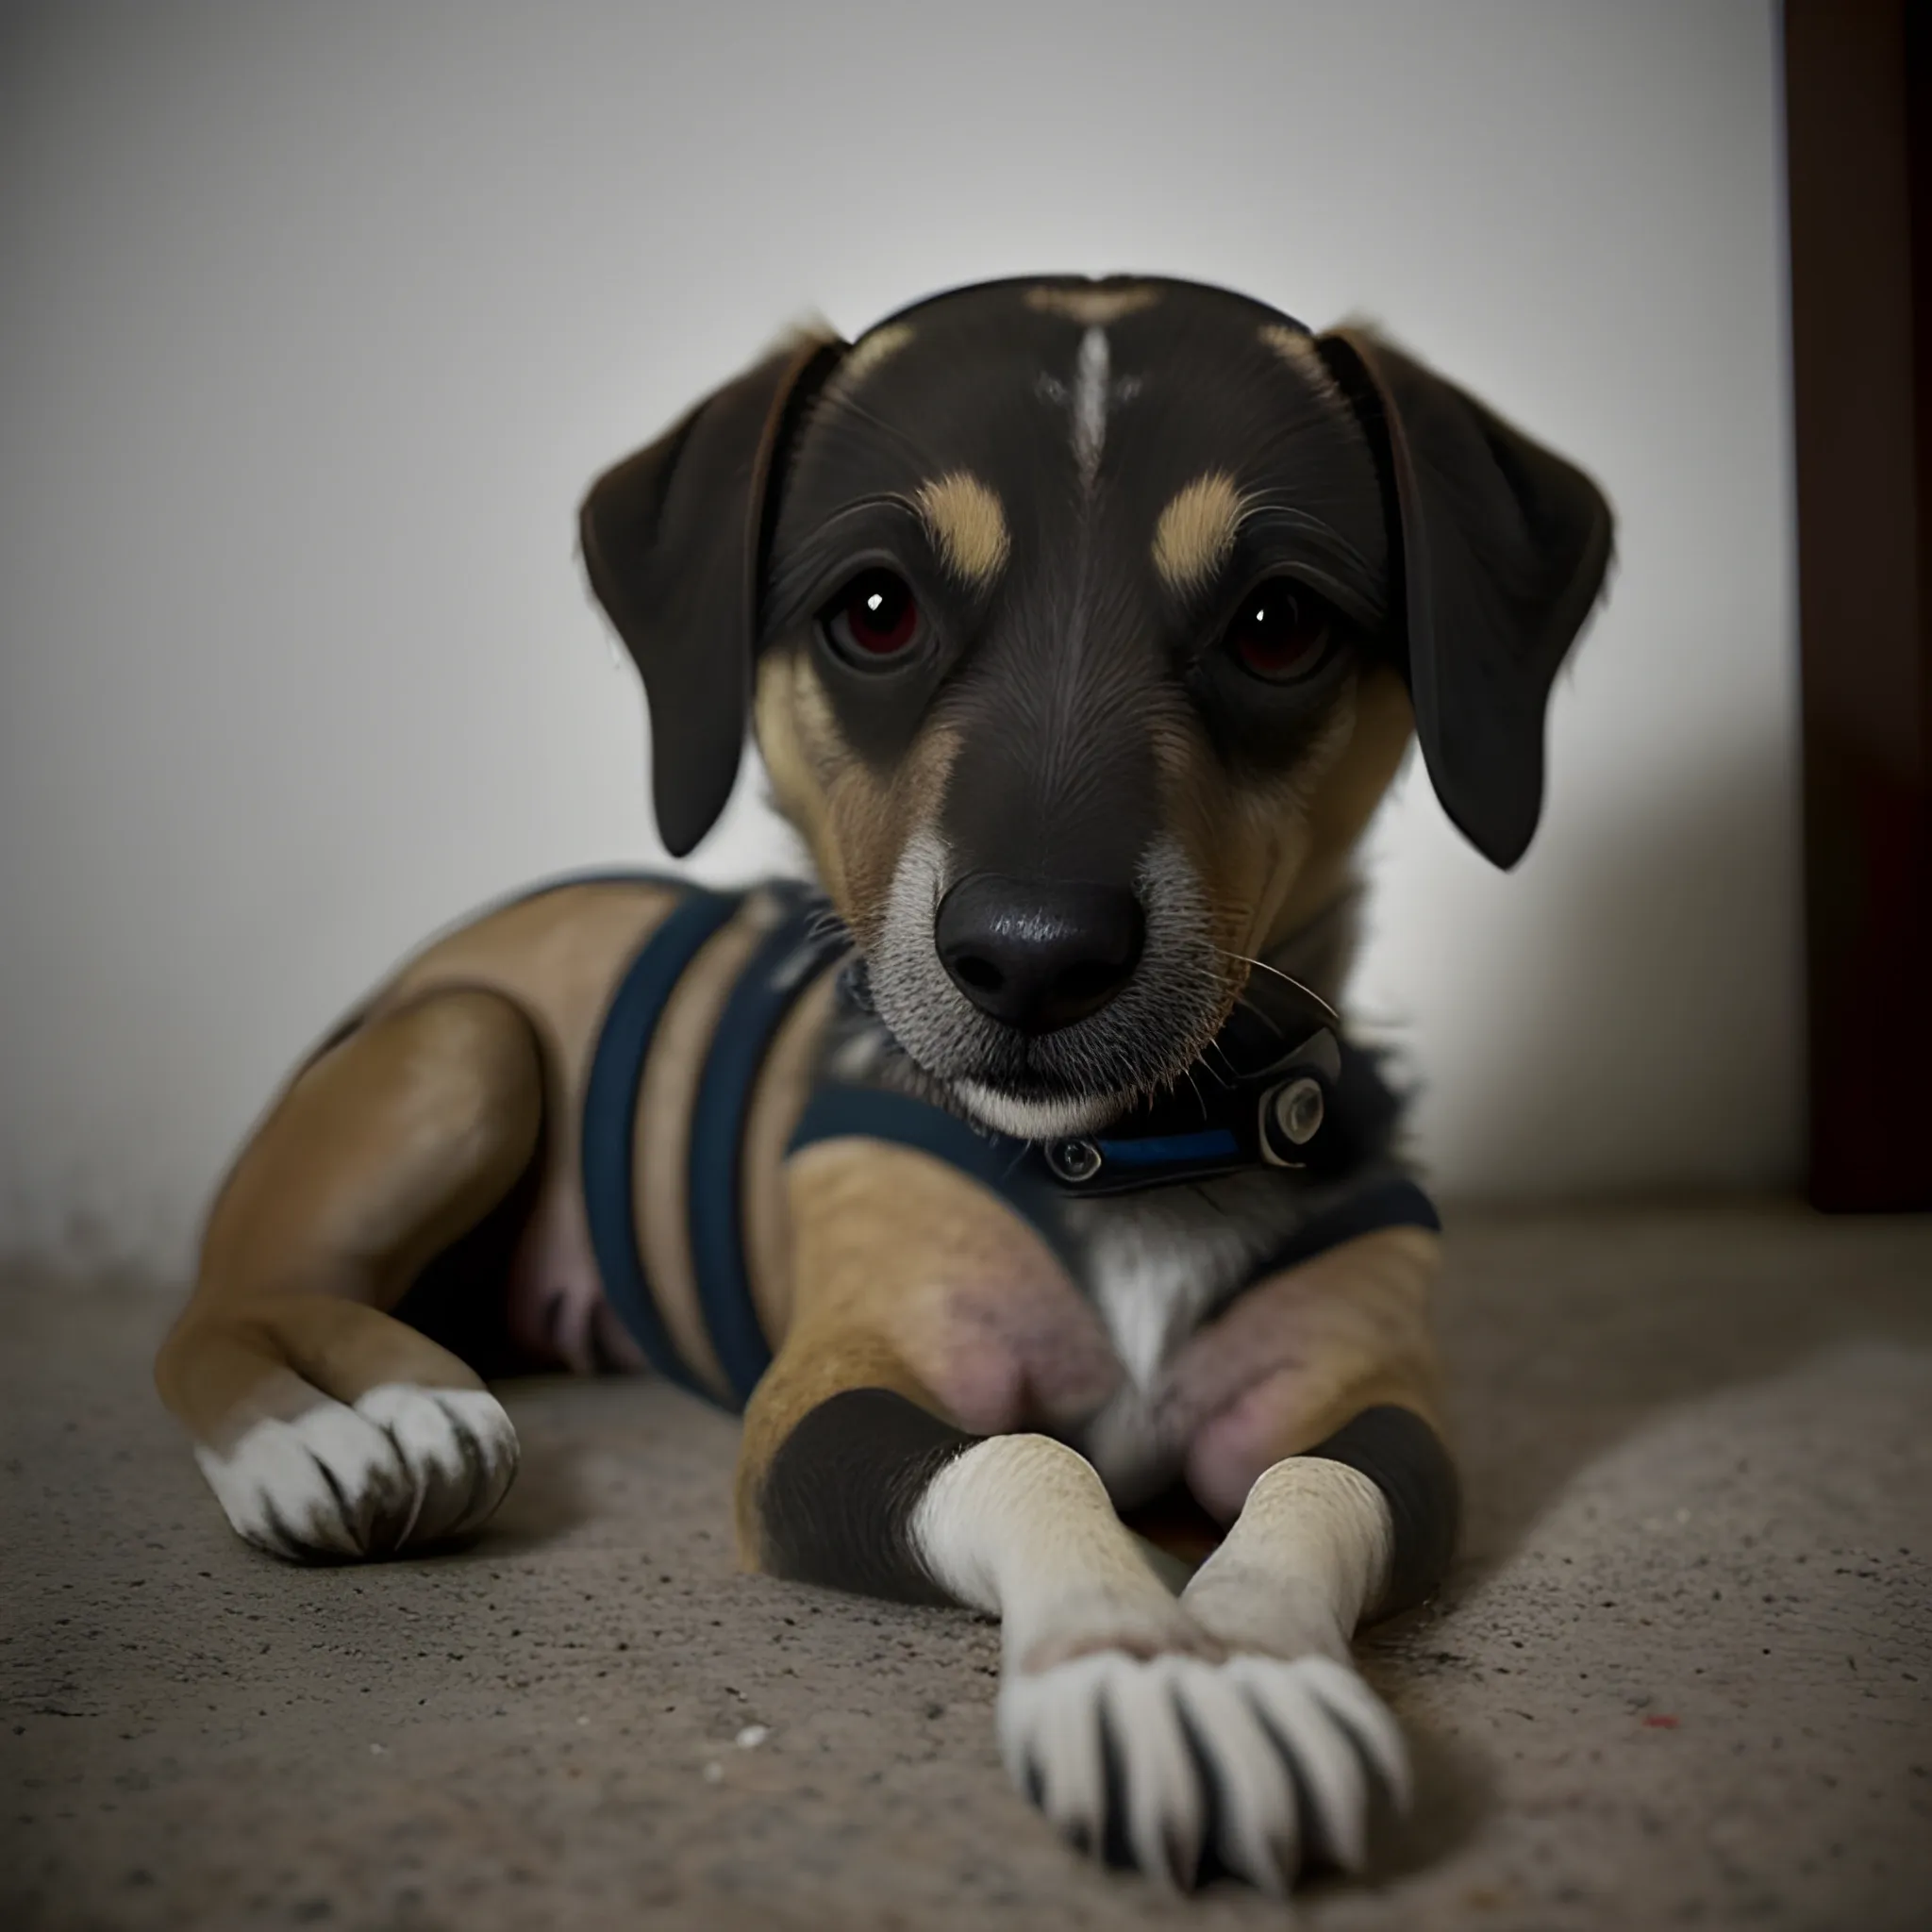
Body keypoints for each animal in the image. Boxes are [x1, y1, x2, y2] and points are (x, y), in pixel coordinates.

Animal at [150, 279, 1607, 1893]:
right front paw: (1131, 1661)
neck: (1123, 1162)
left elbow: (1311, 1492)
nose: (1034, 955)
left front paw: (1242, 1659)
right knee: (220, 1310)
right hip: (469, 1047)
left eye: (1279, 625)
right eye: (874, 610)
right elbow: (1026, 1458)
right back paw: (354, 1427)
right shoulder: (822, 1398)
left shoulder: (1375, 1404)